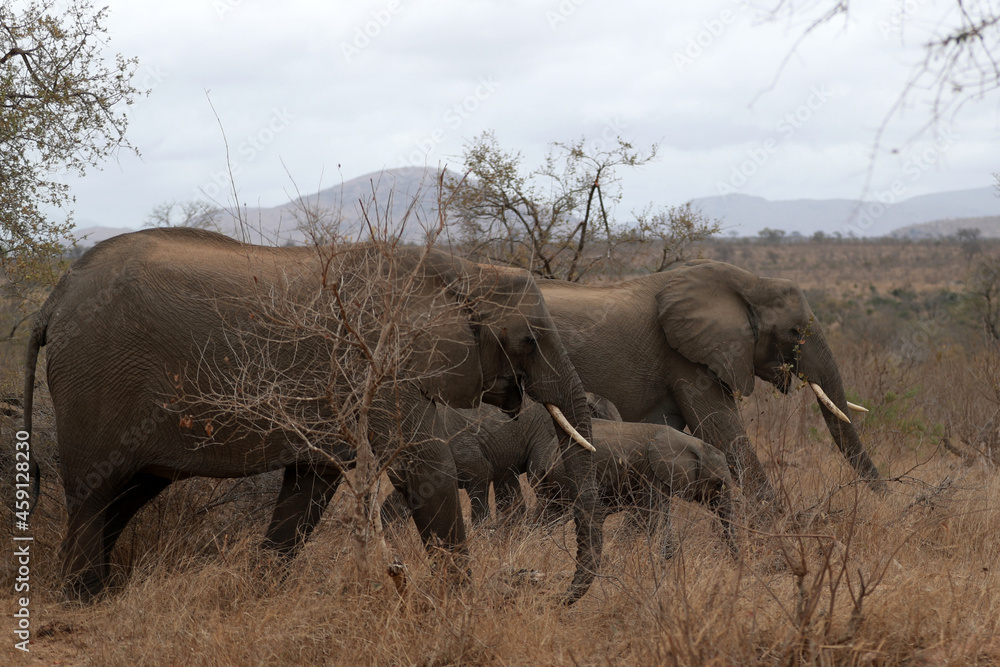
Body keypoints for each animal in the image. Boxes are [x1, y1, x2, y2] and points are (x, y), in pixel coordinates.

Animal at [22, 227, 602, 603]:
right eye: (530, 340)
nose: (558, 598)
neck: (459, 269)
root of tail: (53, 299)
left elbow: (312, 483)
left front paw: (259, 592)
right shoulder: (377, 363)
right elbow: (424, 468)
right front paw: (462, 606)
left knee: (129, 491)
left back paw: (99, 588)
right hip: (96, 379)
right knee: (96, 489)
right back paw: (80, 599)